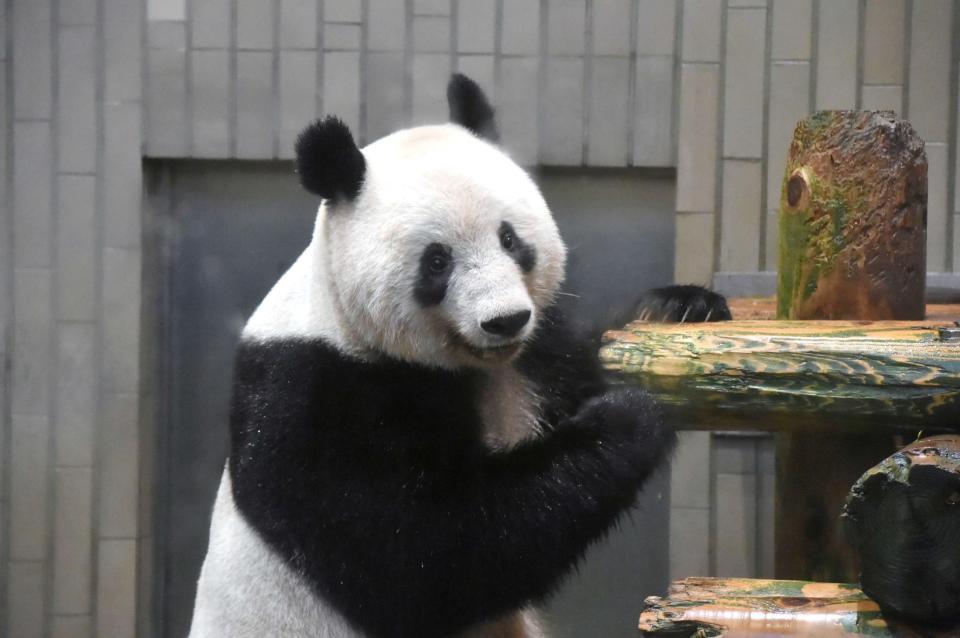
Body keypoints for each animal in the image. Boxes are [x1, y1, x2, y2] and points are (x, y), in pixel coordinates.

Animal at [188, 75, 716, 638]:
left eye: (510, 238)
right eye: (437, 261)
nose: (505, 320)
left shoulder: (535, 355)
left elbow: (577, 373)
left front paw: (679, 307)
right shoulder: (315, 398)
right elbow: (426, 555)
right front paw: (628, 418)